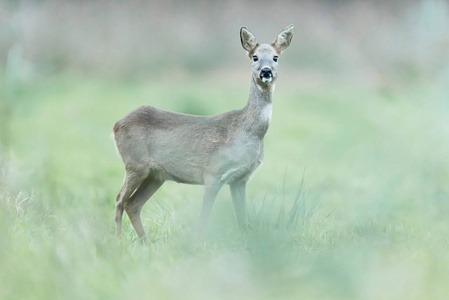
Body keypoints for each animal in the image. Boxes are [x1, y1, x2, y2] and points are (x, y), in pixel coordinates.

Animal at [112, 24, 294, 243]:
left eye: (276, 57)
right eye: (254, 57)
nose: (266, 71)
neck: (248, 132)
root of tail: (116, 125)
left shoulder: (240, 179)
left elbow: (243, 221)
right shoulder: (213, 173)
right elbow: (204, 218)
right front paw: (196, 244)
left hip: (155, 175)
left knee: (133, 204)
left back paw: (145, 243)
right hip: (135, 164)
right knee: (119, 199)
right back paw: (118, 240)